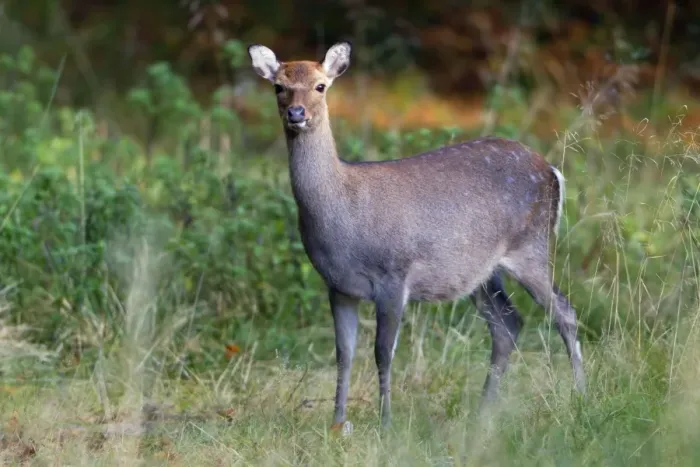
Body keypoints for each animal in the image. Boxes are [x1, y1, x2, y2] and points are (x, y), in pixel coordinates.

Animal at [247, 41, 586, 431]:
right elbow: (344, 353)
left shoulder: (394, 275)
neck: (342, 214)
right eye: (279, 86)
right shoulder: (338, 285)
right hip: (480, 270)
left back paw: (580, 396)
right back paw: (484, 413)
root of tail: (553, 172)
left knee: (564, 312)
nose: (296, 112)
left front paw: (386, 423)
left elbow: (382, 352)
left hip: (532, 247)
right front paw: (337, 422)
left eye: (321, 85)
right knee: (507, 322)